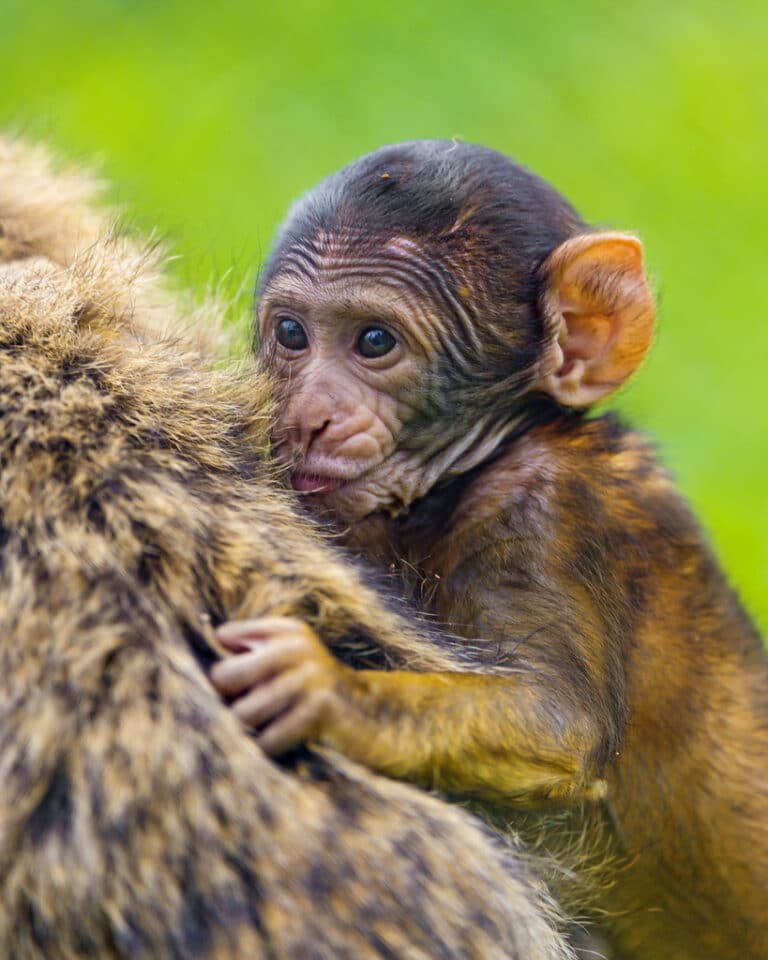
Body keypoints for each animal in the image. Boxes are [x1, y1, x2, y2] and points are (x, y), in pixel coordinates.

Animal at [214, 140, 768, 960]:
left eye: (374, 341)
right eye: (291, 334)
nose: (307, 416)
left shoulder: (544, 510)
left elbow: (555, 724)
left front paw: (326, 690)